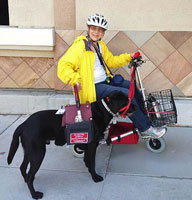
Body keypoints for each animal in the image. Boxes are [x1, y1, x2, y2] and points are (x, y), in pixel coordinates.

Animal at [6, 90, 135, 198]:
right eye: (126, 101)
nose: (136, 106)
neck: (102, 110)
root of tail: (24, 124)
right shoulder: (92, 145)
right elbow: (92, 163)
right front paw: (95, 177)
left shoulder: (88, 145)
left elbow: (87, 161)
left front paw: (89, 170)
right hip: (38, 153)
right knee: (29, 175)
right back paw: (34, 194)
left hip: (29, 152)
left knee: (23, 168)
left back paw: (26, 182)